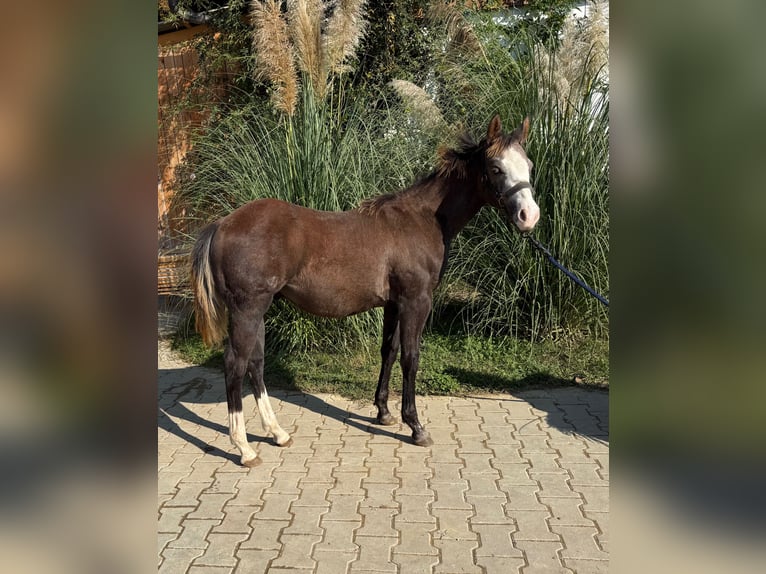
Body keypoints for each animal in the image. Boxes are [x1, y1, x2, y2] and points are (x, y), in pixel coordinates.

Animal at [190, 115, 540, 467]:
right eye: (495, 168)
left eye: (528, 165)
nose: (529, 217)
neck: (422, 219)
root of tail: (222, 225)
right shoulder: (416, 301)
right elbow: (411, 357)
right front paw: (416, 426)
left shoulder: (394, 304)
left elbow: (390, 351)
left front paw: (384, 412)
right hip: (247, 309)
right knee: (235, 364)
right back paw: (245, 448)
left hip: (258, 311)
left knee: (255, 363)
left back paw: (278, 433)